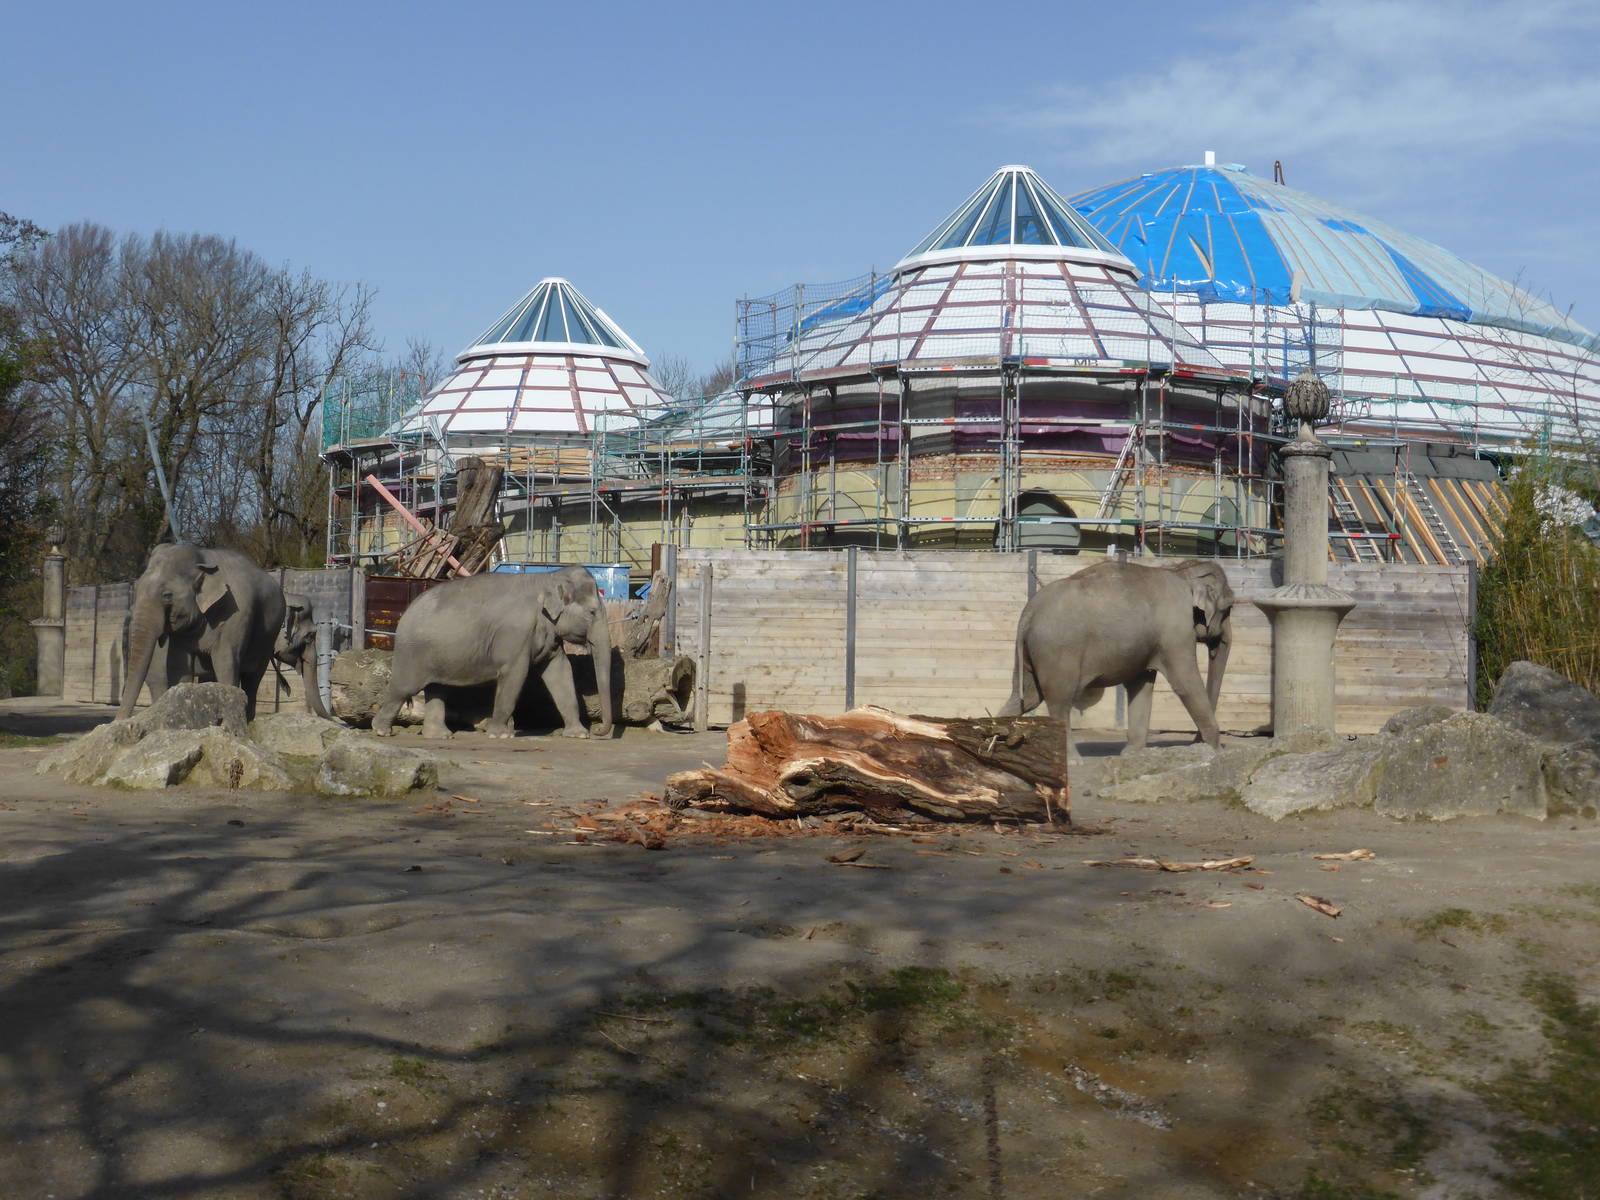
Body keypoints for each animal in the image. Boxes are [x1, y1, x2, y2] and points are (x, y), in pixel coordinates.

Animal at [116, 544, 286, 723]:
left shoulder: (237, 614)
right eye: (137, 588)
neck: (202, 559)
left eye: (167, 595)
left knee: (252, 678)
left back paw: (248, 720)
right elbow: (178, 665)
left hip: (268, 637)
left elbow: (226, 662)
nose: (118, 721)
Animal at [371, 566, 616, 740]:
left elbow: (561, 671)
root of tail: (405, 612)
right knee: (403, 687)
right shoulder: (515, 634)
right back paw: (381, 730)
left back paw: (440, 736)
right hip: (412, 652)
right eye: (592, 612)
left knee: (437, 689)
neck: (548, 577)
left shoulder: (550, 635)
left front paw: (579, 734)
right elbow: (515, 674)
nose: (598, 732)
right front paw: (501, 734)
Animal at [998, 558, 1233, 759]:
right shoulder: (1176, 632)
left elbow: (1141, 685)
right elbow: (1185, 683)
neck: (1182, 570)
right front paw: (1219, 754)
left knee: (1025, 697)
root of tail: (1029, 612)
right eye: (1229, 608)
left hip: (1030, 652)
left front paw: (1131, 754)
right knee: (1059, 701)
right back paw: (1073, 761)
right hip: (1057, 650)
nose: (1197, 741)